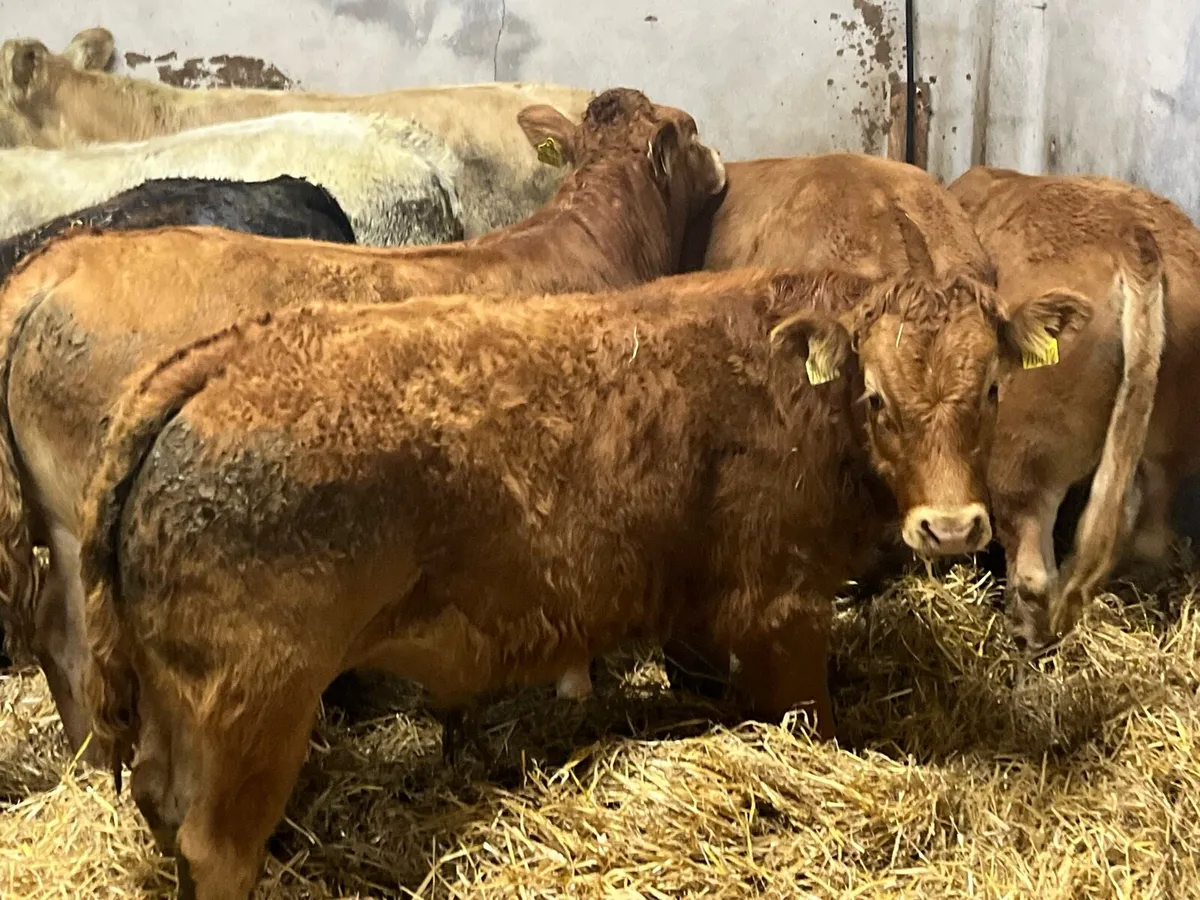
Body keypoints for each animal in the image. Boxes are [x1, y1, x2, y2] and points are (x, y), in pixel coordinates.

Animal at [80, 257, 1085, 899]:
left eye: (992, 389)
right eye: (875, 396)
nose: (951, 527)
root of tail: (233, 352)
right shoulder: (783, 607)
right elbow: (811, 731)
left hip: (181, 701)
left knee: (161, 804)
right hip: (256, 701)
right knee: (217, 847)